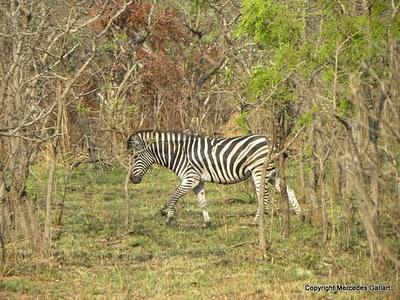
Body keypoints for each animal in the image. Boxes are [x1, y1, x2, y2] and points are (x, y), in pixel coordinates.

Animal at [126, 130, 302, 226]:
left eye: (135, 157)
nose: (133, 180)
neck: (179, 154)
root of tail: (271, 140)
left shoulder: (190, 178)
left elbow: (174, 196)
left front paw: (167, 216)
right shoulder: (198, 181)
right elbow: (202, 202)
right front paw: (207, 222)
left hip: (259, 171)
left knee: (263, 197)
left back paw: (256, 221)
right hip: (272, 173)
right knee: (289, 190)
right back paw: (301, 216)